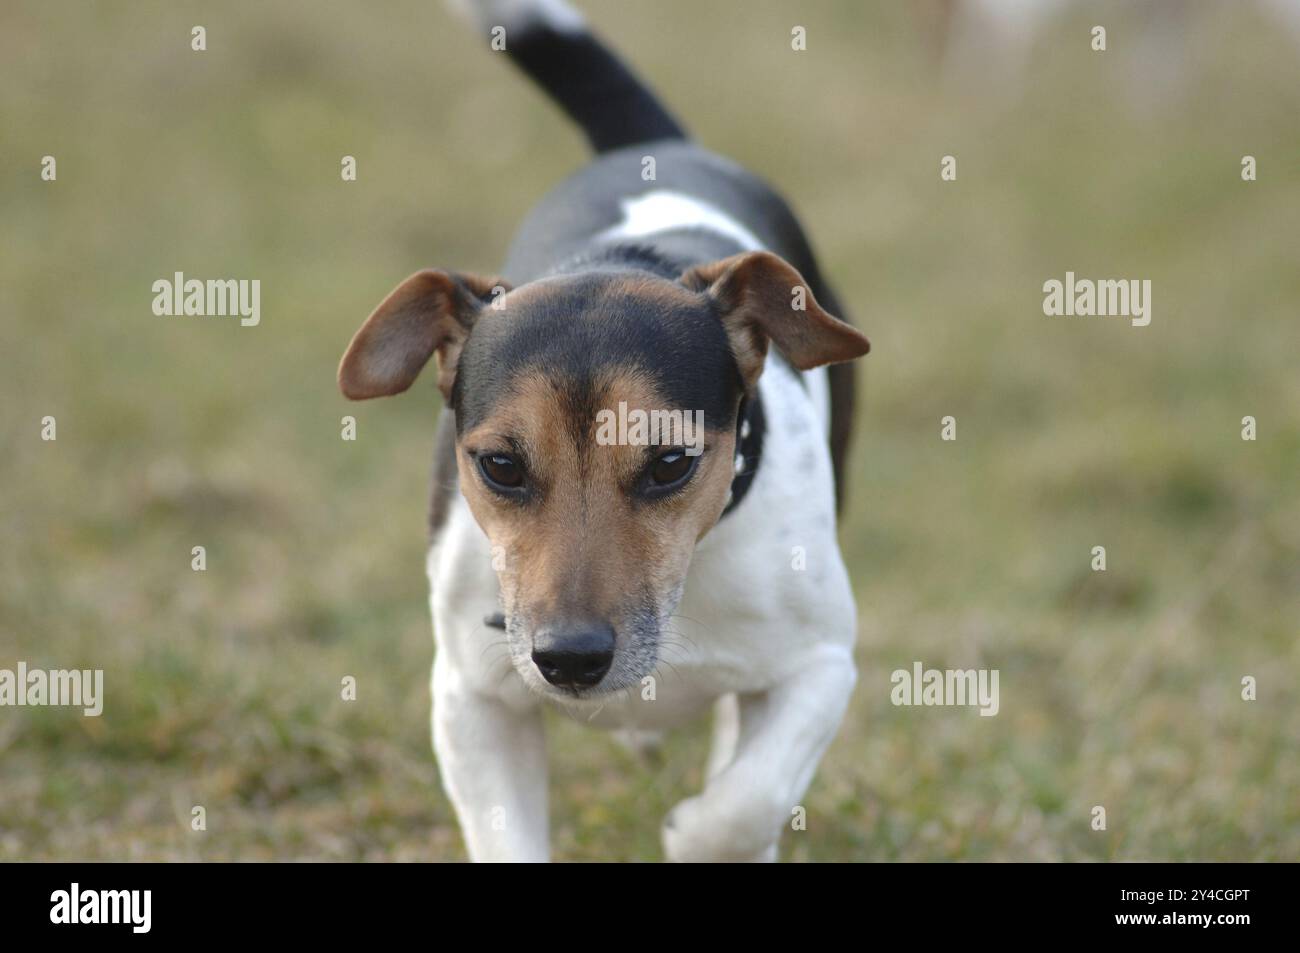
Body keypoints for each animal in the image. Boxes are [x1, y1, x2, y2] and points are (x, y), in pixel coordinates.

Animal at [335, 1, 868, 863]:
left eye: (672, 461)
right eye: (501, 465)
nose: (570, 659)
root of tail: (656, 146)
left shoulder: (820, 663)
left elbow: (745, 801)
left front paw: (697, 829)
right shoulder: (472, 698)